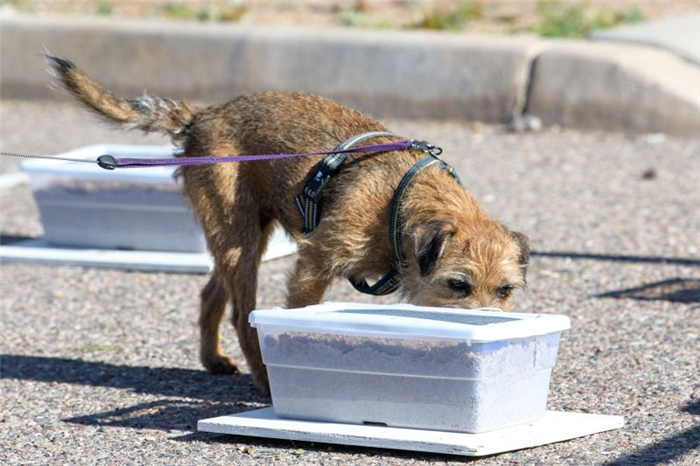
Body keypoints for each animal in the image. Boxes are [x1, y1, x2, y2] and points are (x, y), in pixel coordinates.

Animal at [49, 54, 528, 392]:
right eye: (457, 285)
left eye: (505, 291)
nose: (491, 324)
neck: (401, 198)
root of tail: (204, 114)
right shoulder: (314, 266)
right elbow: (298, 316)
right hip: (239, 240)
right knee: (242, 315)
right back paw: (263, 380)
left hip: (241, 237)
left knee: (211, 295)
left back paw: (213, 360)